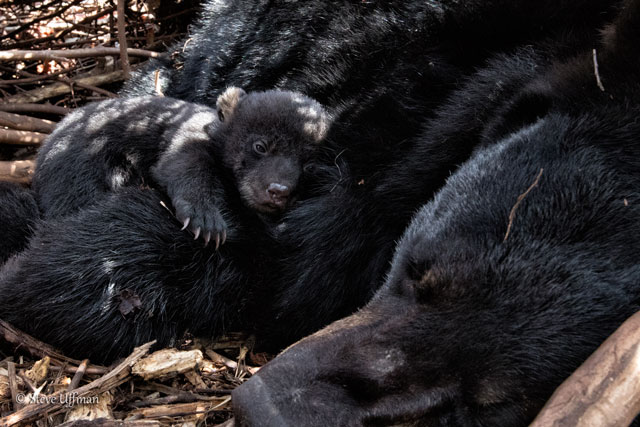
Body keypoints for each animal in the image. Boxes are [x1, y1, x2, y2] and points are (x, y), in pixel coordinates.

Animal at [34, 88, 330, 246]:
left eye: (308, 165)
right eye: (260, 146)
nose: (278, 190)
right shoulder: (188, 135)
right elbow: (183, 163)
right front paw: (206, 221)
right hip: (80, 165)